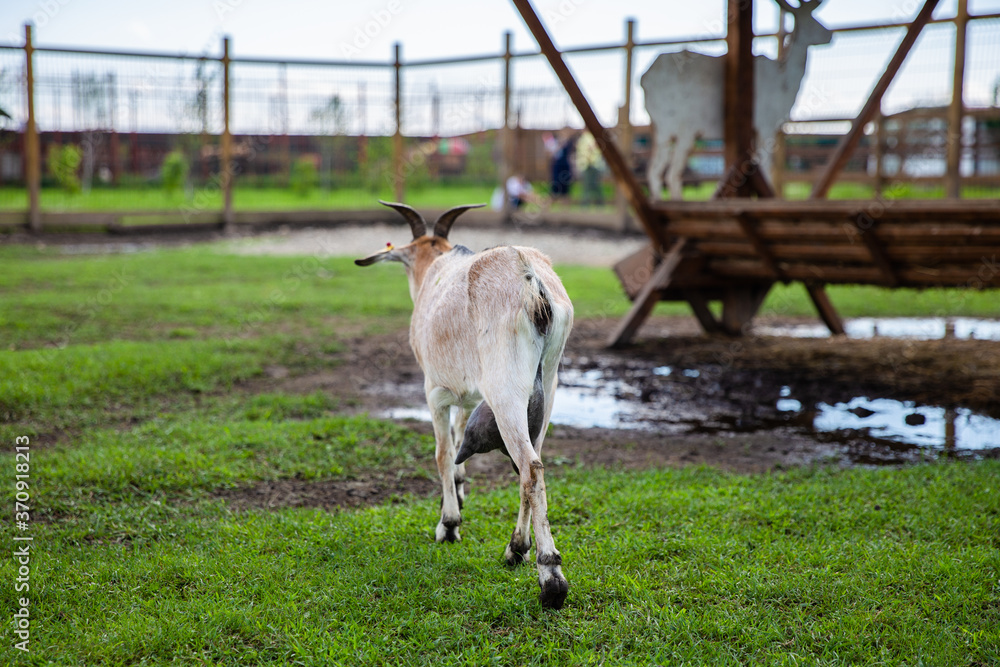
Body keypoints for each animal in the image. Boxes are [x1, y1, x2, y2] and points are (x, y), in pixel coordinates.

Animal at [355, 201, 574, 609]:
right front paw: (458, 489)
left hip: (506, 391)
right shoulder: (467, 396)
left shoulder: (435, 392)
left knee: (530, 467)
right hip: (548, 386)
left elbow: (442, 453)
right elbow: (458, 442)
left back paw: (550, 577)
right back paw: (515, 550)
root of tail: (531, 280)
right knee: (532, 460)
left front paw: (449, 525)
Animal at [641, 0, 832, 199]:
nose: (830, 34)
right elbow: (765, 164)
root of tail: (644, 78)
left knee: (654, 170)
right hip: (683, 128)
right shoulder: (766, 124)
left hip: (663, 130)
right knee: (671, 173)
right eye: (813, 20)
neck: (785, 83)